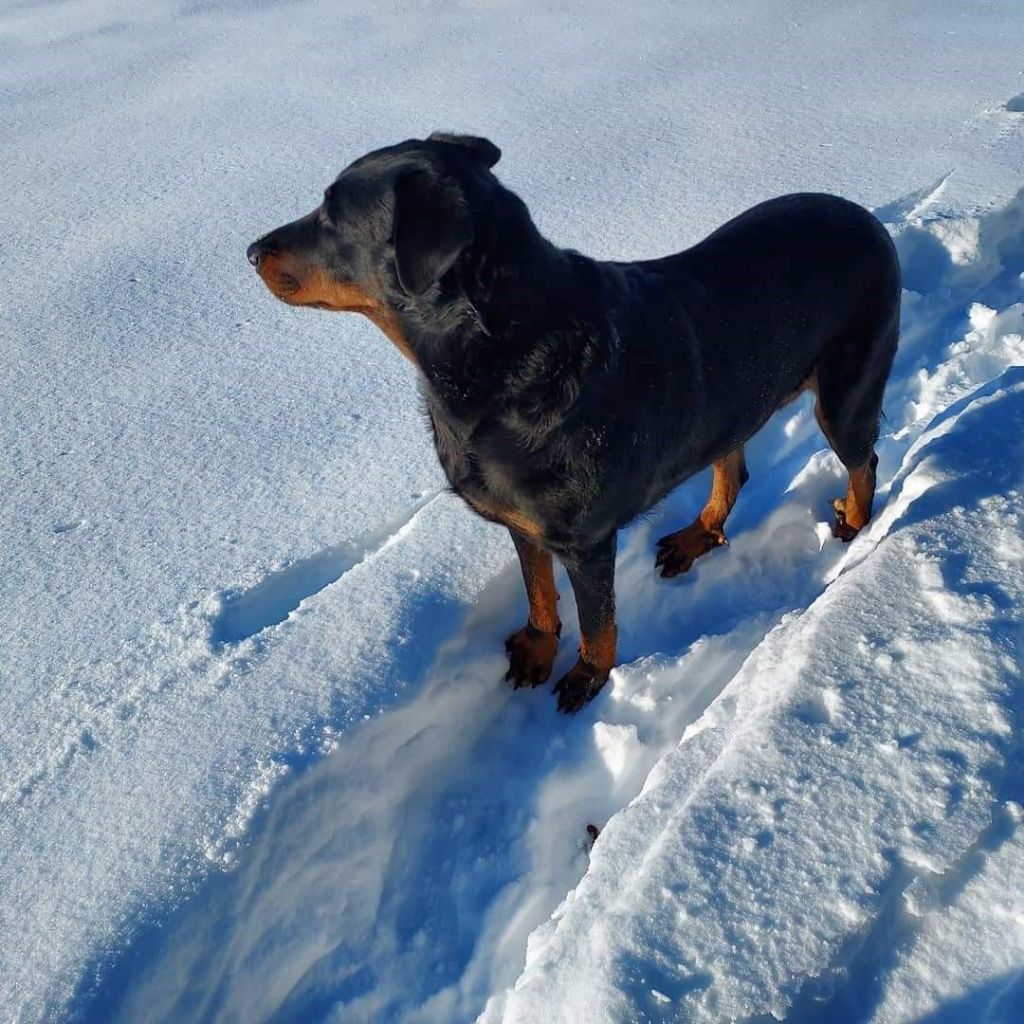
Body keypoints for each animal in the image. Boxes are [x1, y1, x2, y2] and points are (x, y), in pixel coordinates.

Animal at [245, 132, 897, 712]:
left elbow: (596, 620)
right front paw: (537, 648)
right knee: (733, 468)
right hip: (731, 403)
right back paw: (699, 535)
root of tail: (867, 219)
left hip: (845, 390)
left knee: (864, 458)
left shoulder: (586, 541)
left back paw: (855, 523)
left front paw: (588, 677)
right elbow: (537, 590)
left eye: (333, 214)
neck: (496, 357)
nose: (251, 250)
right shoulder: (523, 521)